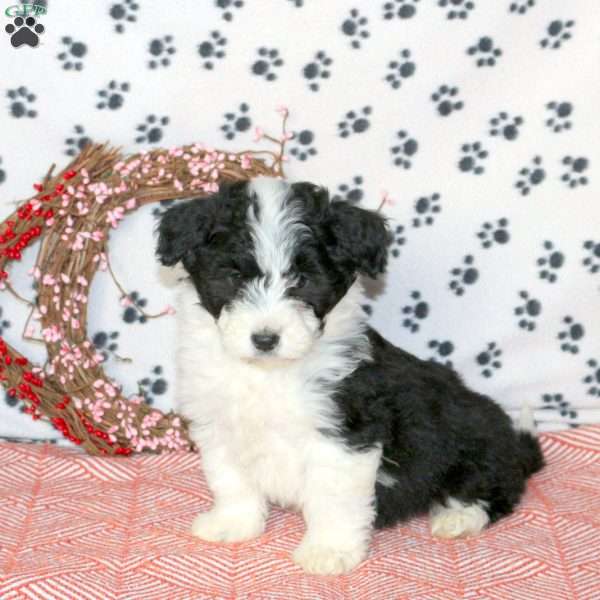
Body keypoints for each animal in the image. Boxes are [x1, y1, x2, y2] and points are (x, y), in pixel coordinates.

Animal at [155, 178, 544, 576]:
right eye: (234, 277)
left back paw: (458, 517)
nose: (265, 339)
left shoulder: (344, 433)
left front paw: (329, 550)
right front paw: (233, 523)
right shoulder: (220, 425)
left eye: (303, 280)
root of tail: (517, 445)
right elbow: (231, 480)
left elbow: (332, 497)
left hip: (476, 443)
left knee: (495, 489)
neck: (269, 372)